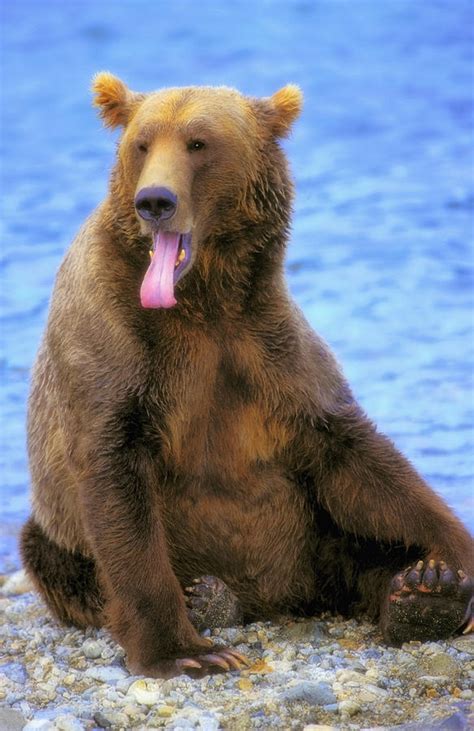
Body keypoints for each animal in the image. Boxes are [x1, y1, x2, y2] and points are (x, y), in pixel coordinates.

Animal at [22, 73, 474, 680]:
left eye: (198, 142)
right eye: (142, 143)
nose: (155, 201)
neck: (201, 300)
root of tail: (276, 597)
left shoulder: (266, 350)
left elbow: (359, 457)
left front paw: (453, 559)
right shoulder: (116, 347)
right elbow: (116, 482)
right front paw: (188, 650)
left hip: (314, 537)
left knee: (363, 550)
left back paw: (425, 590)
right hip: (59, 531)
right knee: (54, 557)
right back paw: (206, 595)